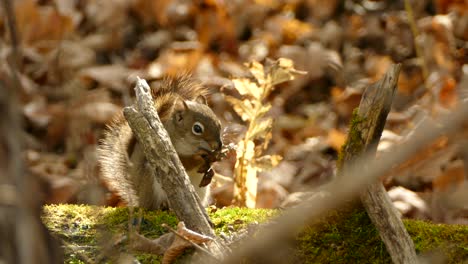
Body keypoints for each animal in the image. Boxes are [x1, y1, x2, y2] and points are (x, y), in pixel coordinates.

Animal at [97, 75, 223, 210]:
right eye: (197, 129)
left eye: (219, 123)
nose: (219, 145)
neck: (192, 146)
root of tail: (140, 198)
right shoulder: (166, 152)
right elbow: (184, 163)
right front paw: (198, 158)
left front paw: (212, 166)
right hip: (151, 183)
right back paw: (164, 206)